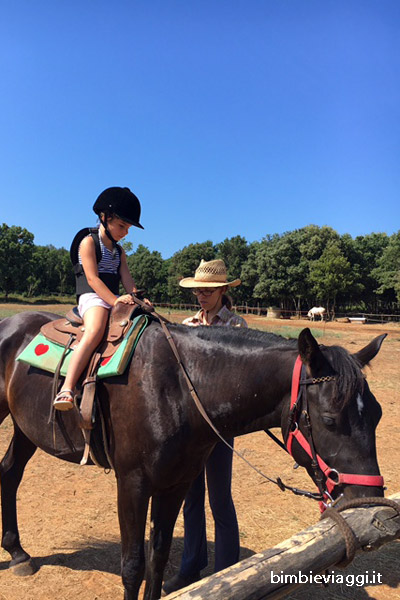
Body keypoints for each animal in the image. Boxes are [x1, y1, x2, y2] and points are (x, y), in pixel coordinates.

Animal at [0, 310, 386, 600]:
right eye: (330, 419)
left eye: (378, 414)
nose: (371, 505)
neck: (180, 387)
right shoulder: (132, 484)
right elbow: (133, 566)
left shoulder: (177, 483)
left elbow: (157, 558)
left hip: (25, 428)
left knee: (10, 472)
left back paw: (18, 553)